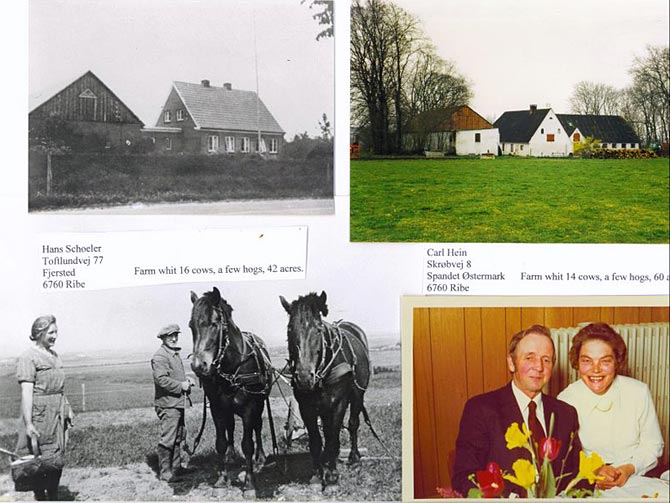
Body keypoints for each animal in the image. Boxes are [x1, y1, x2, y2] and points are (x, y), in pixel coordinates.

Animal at [189, 288, 272, 496]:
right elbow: (221, 441)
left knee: (257, 427)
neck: (232, 367)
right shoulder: (217, 408)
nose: (198, 366)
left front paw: (249, 484)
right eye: (191, 326)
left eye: (214, 324)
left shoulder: (251, 407)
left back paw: (260, 459)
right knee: (231, 427)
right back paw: (231, 455)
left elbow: (248, 444)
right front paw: (221, 480)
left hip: (259, 403)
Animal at [280, 292, 372, 488]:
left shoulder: (339, 402)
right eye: (290, 329)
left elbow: (333, 437)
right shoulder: (306, 406)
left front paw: (331, 476)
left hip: (358, 394)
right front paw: (317, 473)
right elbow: (316, 440)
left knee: (352, 424)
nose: (304, 378)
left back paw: (354, 459)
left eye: (318, 329)